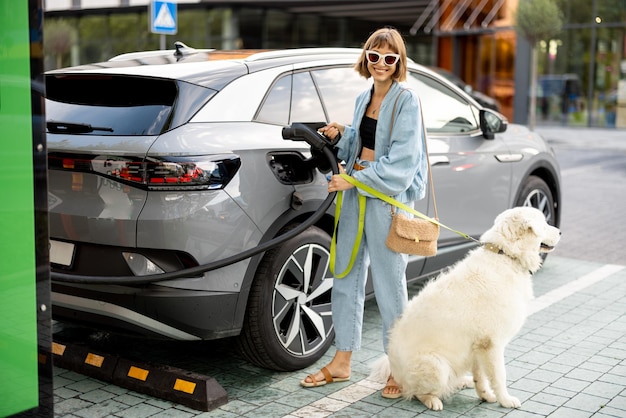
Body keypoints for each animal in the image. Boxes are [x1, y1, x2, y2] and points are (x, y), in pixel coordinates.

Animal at [370, 207, 560, 410]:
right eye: (544, 224)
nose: (560, 232)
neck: (506, 256)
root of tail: (394, 371)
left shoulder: (478, 345)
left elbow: (481, 376)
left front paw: (486, 395)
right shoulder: (492, 343)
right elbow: (499, 376)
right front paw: (505, 400)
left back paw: (463, 382)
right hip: (436, 365)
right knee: (417, 392)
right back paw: (433, 400)